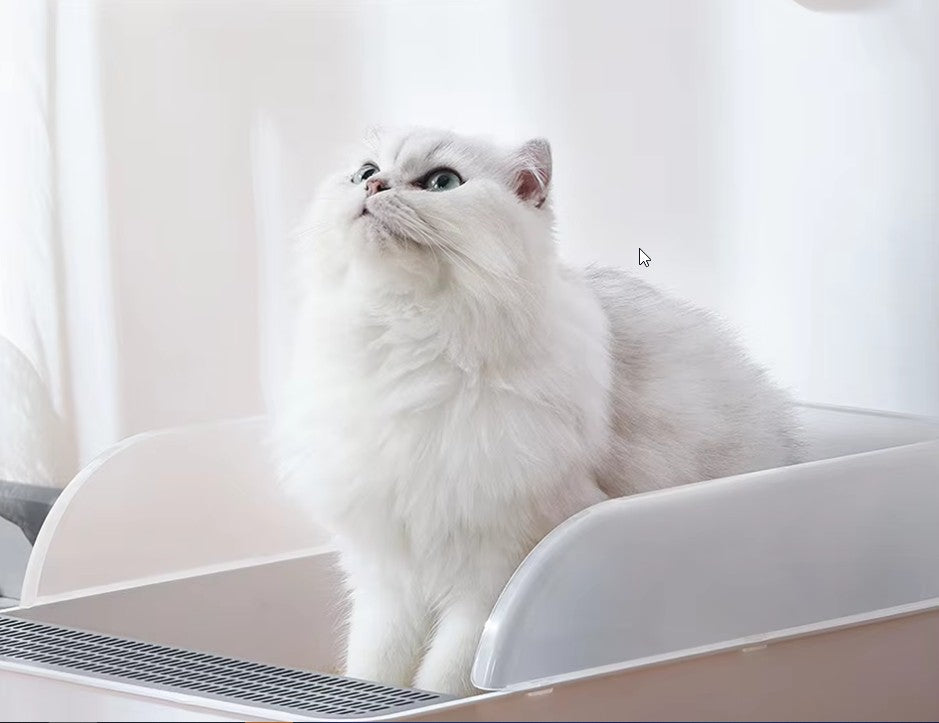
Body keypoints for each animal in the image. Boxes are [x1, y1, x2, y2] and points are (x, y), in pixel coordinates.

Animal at [278, 127, 800, 700]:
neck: (405, 354)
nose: (374, 185)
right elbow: (373, 671)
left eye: (442, 183)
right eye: (365, 171)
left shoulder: (491, 581)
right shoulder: (386, 580)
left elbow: (445, 681)